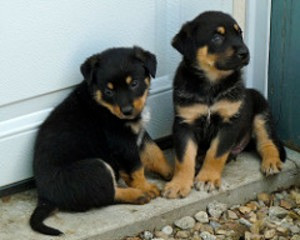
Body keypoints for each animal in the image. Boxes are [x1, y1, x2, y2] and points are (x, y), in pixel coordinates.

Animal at [29, 46, 173, 235]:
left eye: (134, 83)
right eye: (108, 91)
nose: (127, 111)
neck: (101, 103)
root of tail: (45, 198)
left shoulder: (139, 133)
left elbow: (155, 151)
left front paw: (173, 172)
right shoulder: (122, 142)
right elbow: (137, 167)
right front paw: (145, 187)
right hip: (96, 168)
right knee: (106, 196)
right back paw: (137, 195)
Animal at [162, 11, 286, 199]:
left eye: (239, 34)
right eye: (216, 37)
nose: (245, 52)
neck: (211, 84)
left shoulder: (229, 123)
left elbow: (216, 153)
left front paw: (207, 179)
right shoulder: (184, 123)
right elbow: (184, 158)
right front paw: (179, 184)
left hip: (261, 114)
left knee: (266, 142)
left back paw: (271, 162)